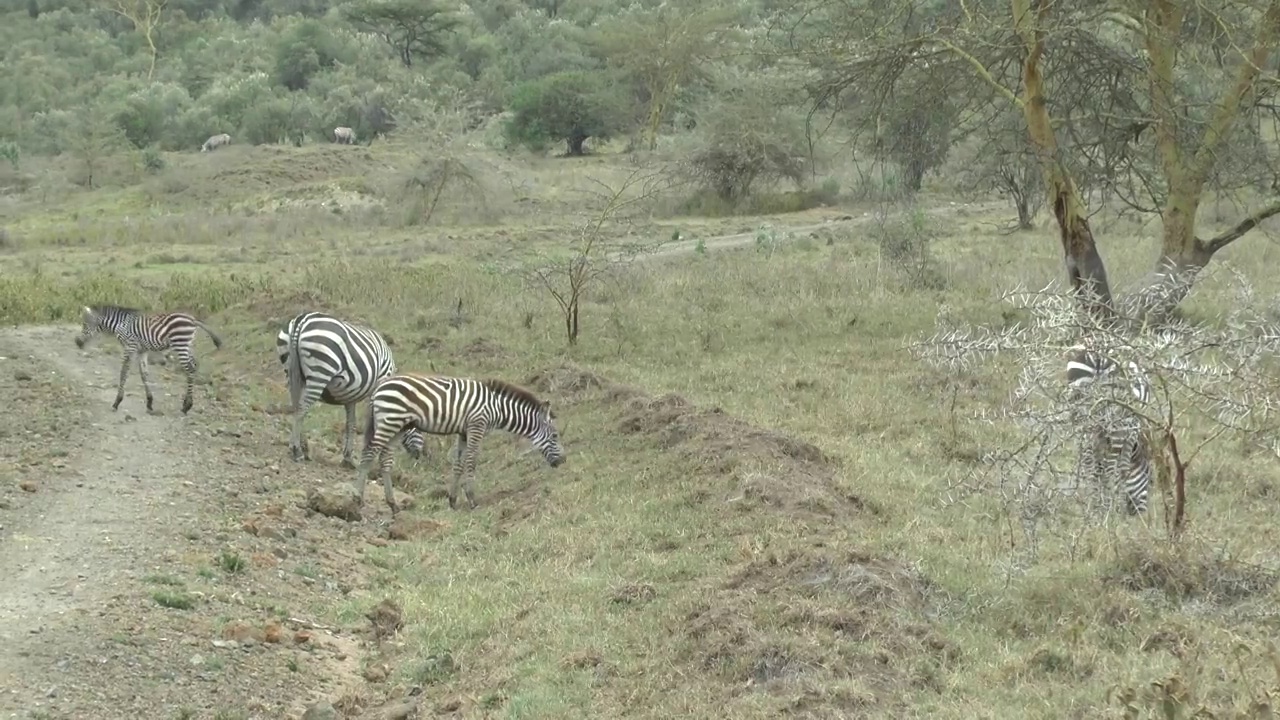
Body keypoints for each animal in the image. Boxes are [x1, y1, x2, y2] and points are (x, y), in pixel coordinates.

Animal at [72, 303, 224, 415]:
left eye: (85, 325)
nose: (77, 343)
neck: (120, 325)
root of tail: (192, 319)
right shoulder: (142, 351)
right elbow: (144, 374)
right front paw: (150, 403)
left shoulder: (130, 347)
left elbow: (123, 373)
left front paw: (117, 402)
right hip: (187, 345)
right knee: (194, 365)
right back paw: (185, 404)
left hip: (180, 344)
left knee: (190, 368)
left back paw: (187, 406)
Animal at [275, 311, 424, 468]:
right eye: (418, 427)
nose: (419, 456)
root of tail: (302, 320)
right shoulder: (376, 391)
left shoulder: (350, 395)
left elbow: (351, 424)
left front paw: (348, 457)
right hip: (320, 371)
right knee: (302, 408)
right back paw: (297, 450)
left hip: (291, 371)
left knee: (296, 407)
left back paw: (301, 446)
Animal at [358, 368, 563, 515]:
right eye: (555, 436)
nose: (563, 461)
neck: (497, 408)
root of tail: (379, 386)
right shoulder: (476, 426)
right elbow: (471, 461)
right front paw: (472, 500)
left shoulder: (463, 432)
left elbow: (458, 464)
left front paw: (453, 500)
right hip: (390, 421)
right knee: (368, 454)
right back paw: (358, 500)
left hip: (398, 426)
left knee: (385, 459)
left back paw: (393, 505)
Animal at [1064, 345, 1157, 512]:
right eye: (1150, 478)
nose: (1139, 513)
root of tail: (1098, 357)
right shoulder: (1132, 432)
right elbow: (1123, 468)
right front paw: (1115, 502)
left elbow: (1098, 469)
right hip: (1117, 424)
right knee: (1109, 469)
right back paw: (1107, 509)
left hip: (1083, 421)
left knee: (1089, 466)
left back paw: (1091, 506)